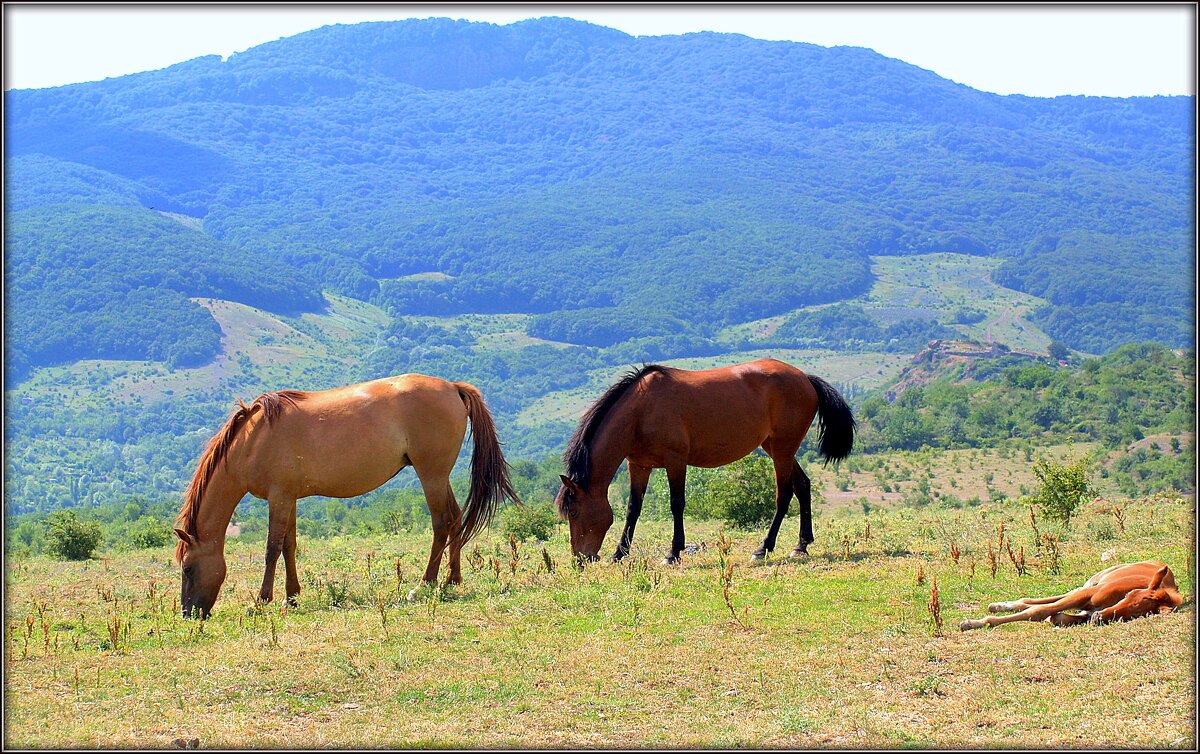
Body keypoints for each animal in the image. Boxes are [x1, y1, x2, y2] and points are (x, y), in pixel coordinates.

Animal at [172, 374, 516, 619]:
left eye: (188, 568)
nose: (189, 614)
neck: (254, 439)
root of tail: (452, 388)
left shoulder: (278, 497)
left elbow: (271, 549)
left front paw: (261, 601)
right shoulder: (289, 498)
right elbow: (289, 546)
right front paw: (291, 597)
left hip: (430, 475)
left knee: (441, 523)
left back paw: (424, 585)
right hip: (439, 477)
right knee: (456, 519)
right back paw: (451, 580)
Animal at [556, 360, 859, 566]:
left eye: (574, 512)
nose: (581, 559)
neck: (641, 411)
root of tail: (805, 378)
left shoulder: (675, 462)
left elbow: (676, 505)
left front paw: (673, 553)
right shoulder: (639, 465)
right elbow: (633, 509)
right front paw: (619, 553)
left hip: (783, 450)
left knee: (783, 495)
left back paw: (763, 548)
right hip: (776, 448)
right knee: (803, 486)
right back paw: (801, 545)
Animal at [960, 559, 1185, 629]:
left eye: (1137, 614)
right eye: (1129, 595)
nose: (1098, 617)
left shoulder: (1086, 610)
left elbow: (1056, 616)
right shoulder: (1089, 596)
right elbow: (1040, 611)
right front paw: (974, 623)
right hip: (1091, 585)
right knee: (1043, 600)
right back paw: (999, 605)